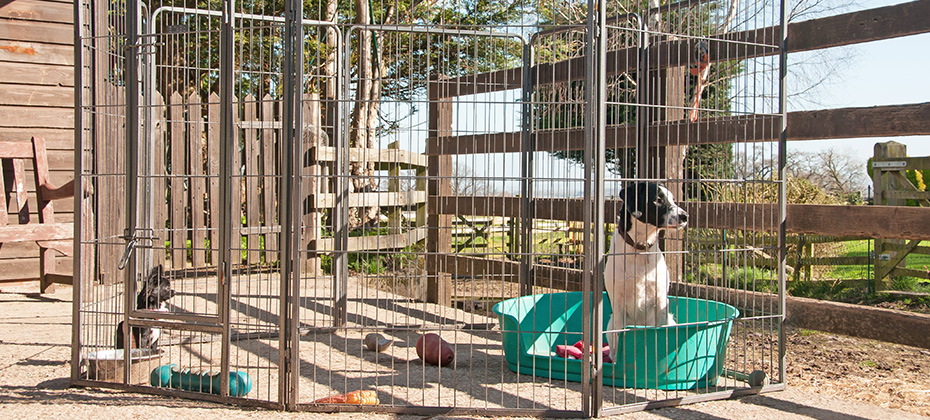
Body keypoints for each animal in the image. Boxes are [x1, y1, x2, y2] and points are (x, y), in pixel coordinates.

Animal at [604, 183, 684, 358]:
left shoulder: (660, 298)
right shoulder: (617, 301)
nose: (685, 216)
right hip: (610, 324)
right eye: (658, 199)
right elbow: (619, 334)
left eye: (673, 199)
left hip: (670, 319)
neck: (639, 249)